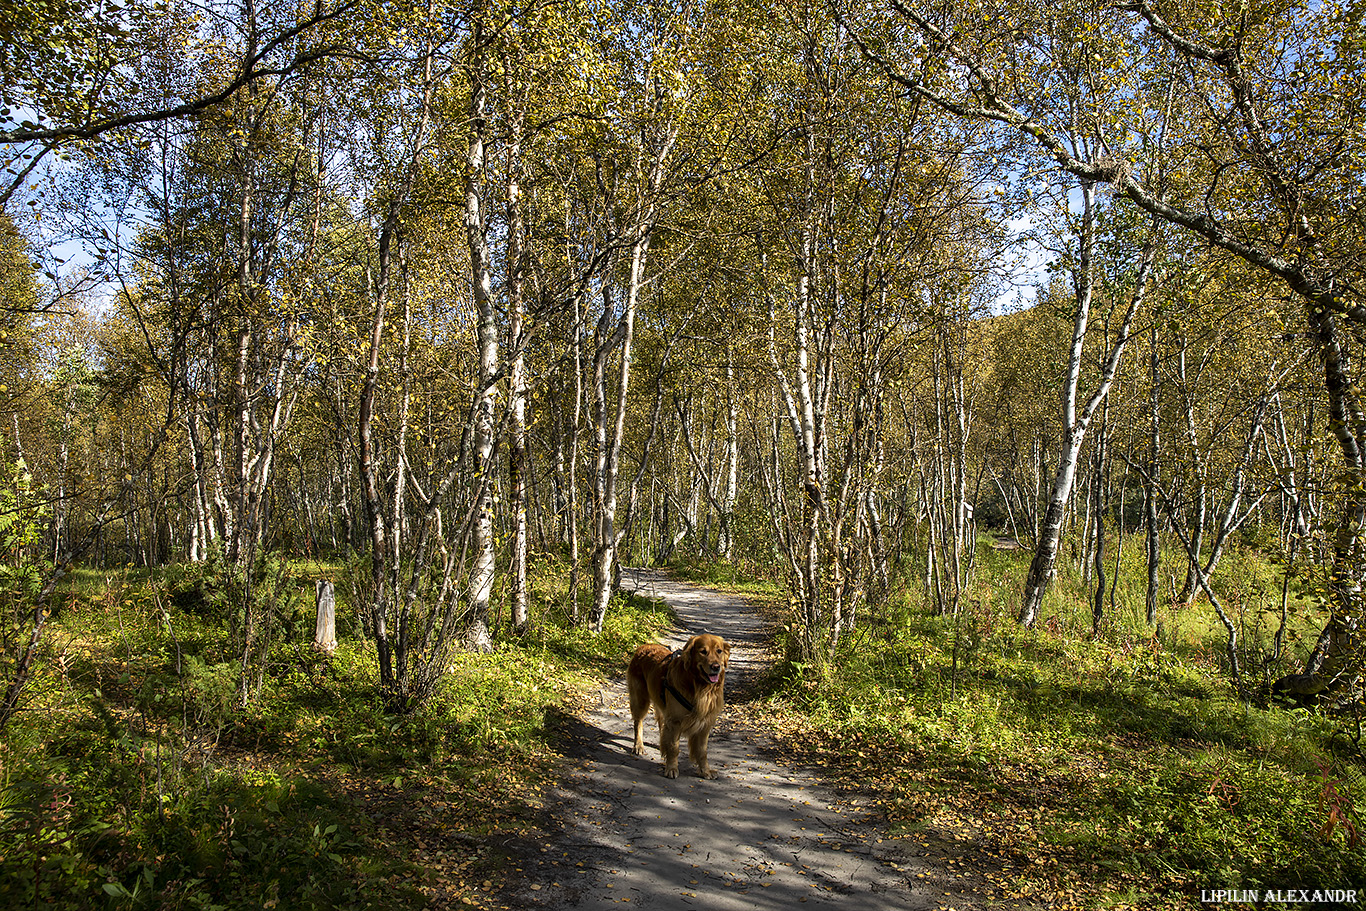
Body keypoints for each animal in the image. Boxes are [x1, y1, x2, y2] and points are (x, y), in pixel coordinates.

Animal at [628, 633, 732, 775]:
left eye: (719, 651)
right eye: (703, 652)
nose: (716, 667)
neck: (699, 688)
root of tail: (644, 646)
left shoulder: (705, 724)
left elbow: (702, 751)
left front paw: (705, 771)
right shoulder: (675, 721)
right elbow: (673, 747)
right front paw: (671, 769)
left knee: (661, 724)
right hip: (640, 699)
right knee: (638, 722)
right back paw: (638, 745)